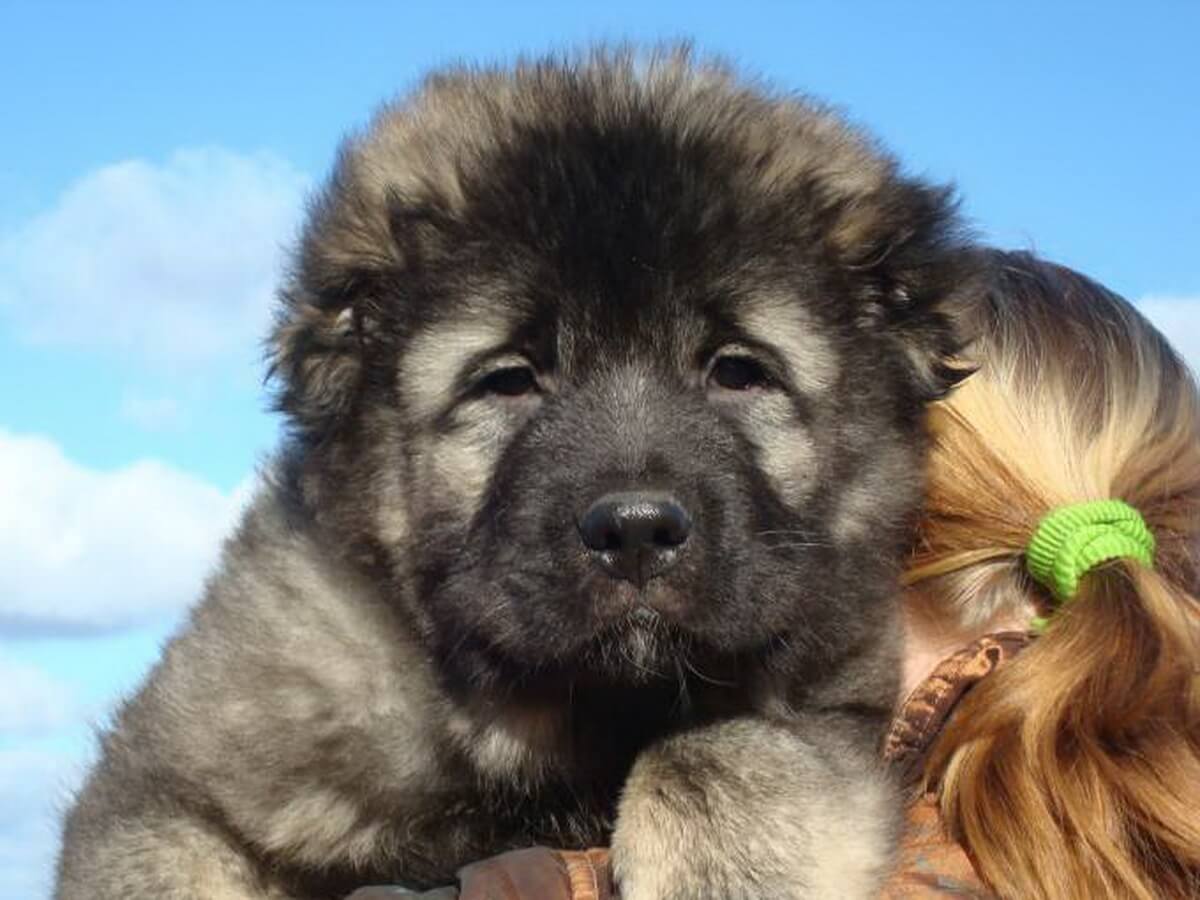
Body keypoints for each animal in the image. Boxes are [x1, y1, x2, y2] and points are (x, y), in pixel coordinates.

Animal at [54, 49, 974, 900]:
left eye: (738, 371)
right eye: (508, 380)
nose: (636, 532)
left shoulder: (836, 695)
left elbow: (720, 751)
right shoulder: (162, 790)